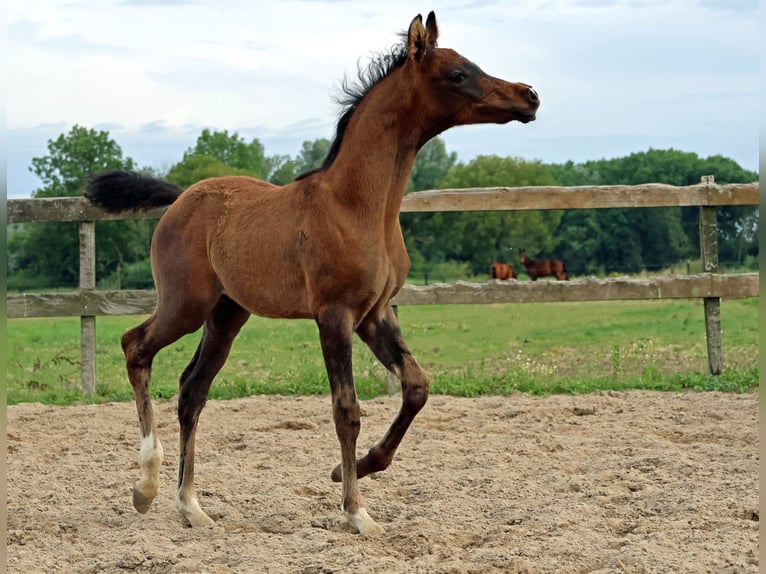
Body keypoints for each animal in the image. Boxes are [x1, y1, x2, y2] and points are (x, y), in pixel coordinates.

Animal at [84, 11, 540, 536]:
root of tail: (180, 199)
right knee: (135, 347)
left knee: (192, 390)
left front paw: (353, 468)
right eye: (459, 74)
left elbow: (417, 386)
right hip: (186, 305)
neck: (357, 206)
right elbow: (347, 409)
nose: (530, 95)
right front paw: (357, 512)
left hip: (226, 314)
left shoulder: (375, 314)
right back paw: (146, 486)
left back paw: (190, 506)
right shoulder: (334, 315)